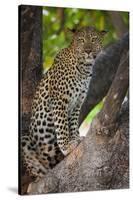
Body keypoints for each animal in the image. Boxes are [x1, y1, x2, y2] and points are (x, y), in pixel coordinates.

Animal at [21, 26, 107, 180]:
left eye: (93, 39)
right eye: (81, 40)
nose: (88, 50)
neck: (84, 68)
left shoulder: (77, 103)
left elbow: (72, 124)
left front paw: (76, 138)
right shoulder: (59, 101)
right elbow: (62, 126)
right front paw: (66, 147)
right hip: (26, 140)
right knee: (41, 170)